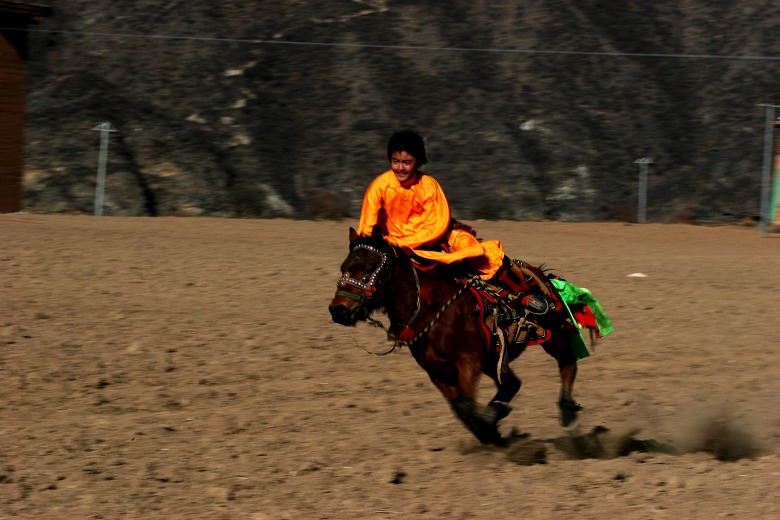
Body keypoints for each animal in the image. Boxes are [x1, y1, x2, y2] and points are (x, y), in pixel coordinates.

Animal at [328, 225, 584, 444]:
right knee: (512, 383)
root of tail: (543, 275)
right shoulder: (437, 371)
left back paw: (568, 412)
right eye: (343, 267)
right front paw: (489, 430)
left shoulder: (468, 360)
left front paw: (489, 421)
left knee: (567, 364)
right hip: (494, 359)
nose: (339, 310)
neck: (430, 311)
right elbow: (460, 407)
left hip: (555, 336)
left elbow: (466, 402)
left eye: (370, 269)